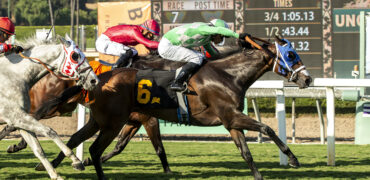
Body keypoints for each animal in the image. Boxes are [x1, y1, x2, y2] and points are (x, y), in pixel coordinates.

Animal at [0, 34, 99, 179]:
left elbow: (38, 149)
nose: (94, 80)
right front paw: (76, 160)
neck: (13, 75)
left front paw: (55, 175)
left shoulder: (19, 120)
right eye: (75, 56)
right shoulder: (16, 116)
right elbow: (50, 131)